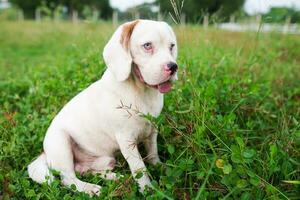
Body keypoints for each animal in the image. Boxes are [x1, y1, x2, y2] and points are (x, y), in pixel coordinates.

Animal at [27, 19, 178, 195]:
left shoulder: (152, 129)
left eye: (171, 46)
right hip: (61, 144)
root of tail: (45, 153)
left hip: (106, 160)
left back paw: (116, 178)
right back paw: (90, 188)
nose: (173, 67)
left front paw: (160, 167)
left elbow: (153, 153)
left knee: (88, 171)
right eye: (147, 45)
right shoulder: (127, 140)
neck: (141, 92)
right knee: (68, 180)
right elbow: (140, 168)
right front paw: (148, 190)